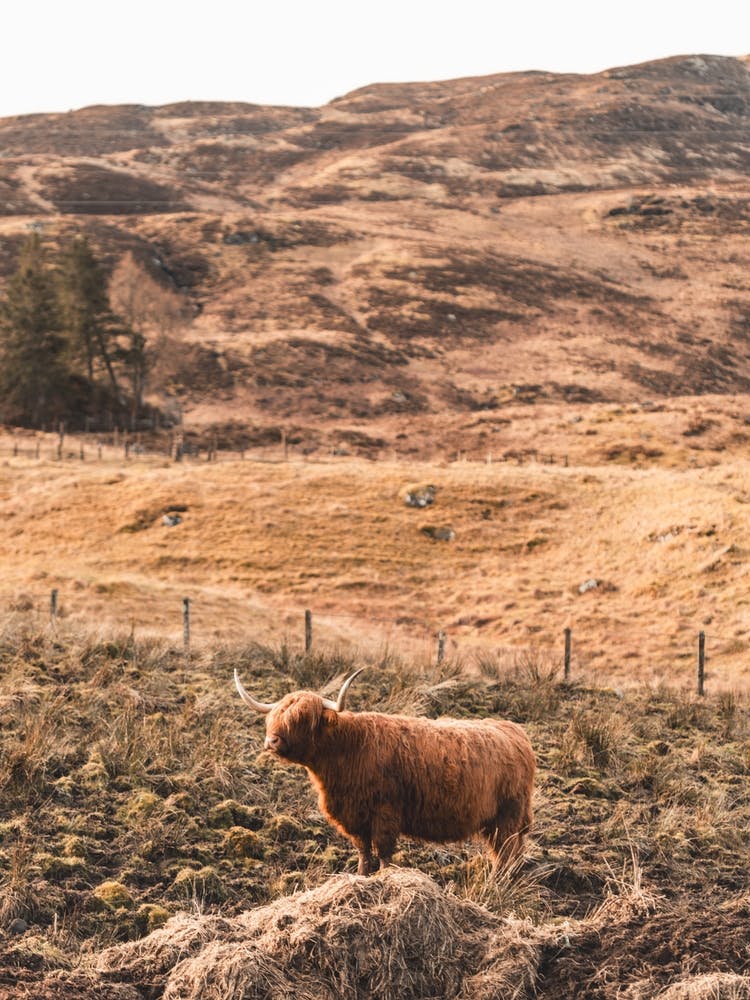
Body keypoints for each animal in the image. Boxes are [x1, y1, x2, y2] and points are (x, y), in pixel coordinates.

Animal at [234, 668, 535, 875]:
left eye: (302, 719)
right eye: (274, 717)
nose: (271, 741)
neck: (347, 748)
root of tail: (515, 732)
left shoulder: (385, 813)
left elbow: (384, 854)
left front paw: (386, 879)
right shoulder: (356, 817)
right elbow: (364, 853)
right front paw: (361, 877)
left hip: (508, 816)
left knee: (506, 853)